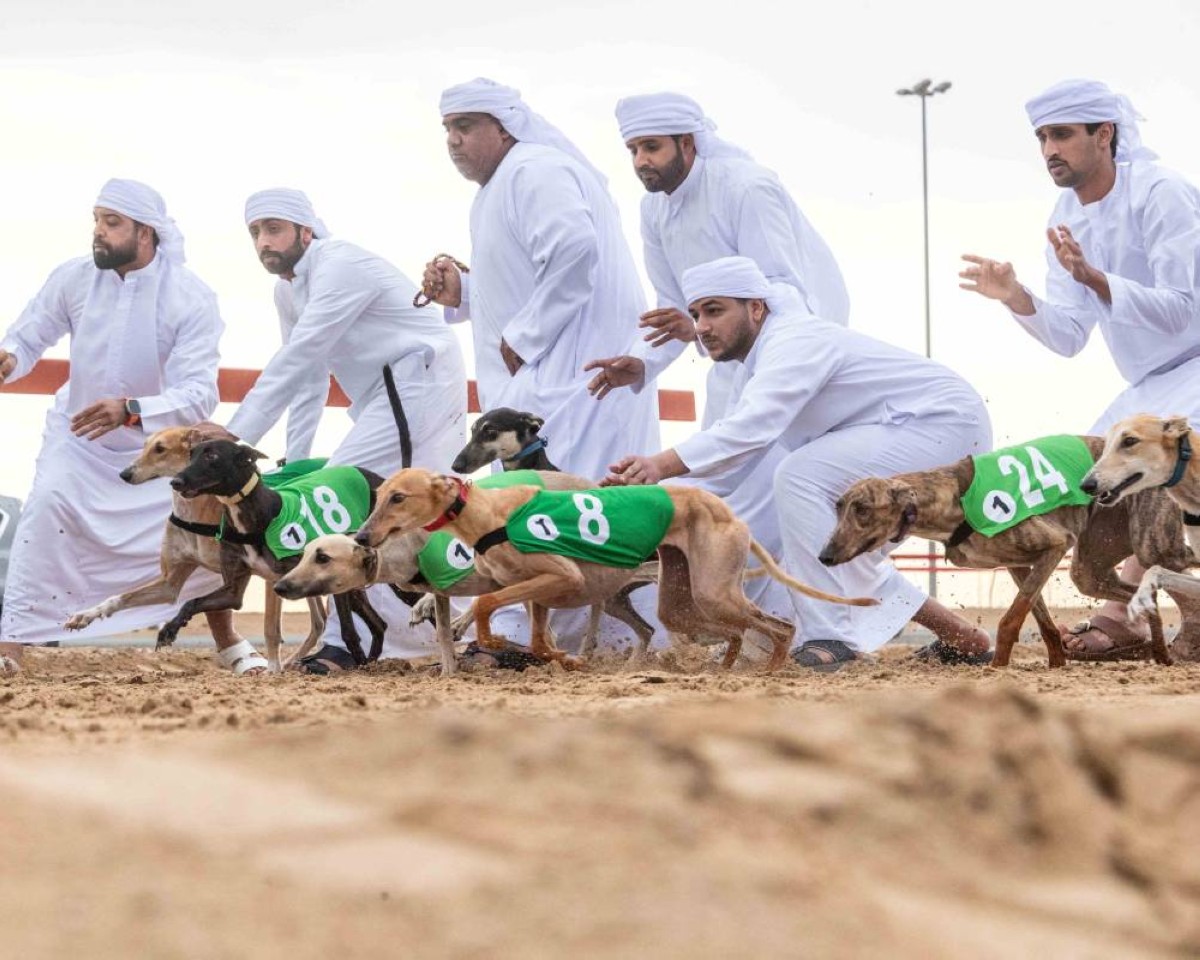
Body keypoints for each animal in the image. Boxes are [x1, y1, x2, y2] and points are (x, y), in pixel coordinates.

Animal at [63, 425, 325, 674]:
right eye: (145, 445)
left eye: (160, 449)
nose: (125, 474)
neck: (198, 512)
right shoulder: (171, 583)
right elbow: (122, 597)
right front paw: (84, 615)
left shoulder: (270, 578)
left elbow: (270, 627)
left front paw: (272, 668)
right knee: (320, 621)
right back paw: (296, 660)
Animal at [158, 439, 389, 666]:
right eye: (191, 455)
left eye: (211, 455)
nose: (175, 482)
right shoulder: (235, 590)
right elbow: (193, 602)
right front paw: (169, 630)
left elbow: (347, 629)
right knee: (379, 623)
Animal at [354, 469, 875, 672]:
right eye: (378, 496)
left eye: (398, 497)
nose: (360, 538)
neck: (488, 512)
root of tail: (729, 514)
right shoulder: (538, 591)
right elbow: (537, 638)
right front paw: (563, 659)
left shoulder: (561, 577)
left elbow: (485, 604)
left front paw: (492, 640)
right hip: (681, 601)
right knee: (733, 632)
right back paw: (726, 668)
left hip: (712, 591)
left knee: (778, 626)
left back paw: (768, 671)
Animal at [819, 434, 1192, 667]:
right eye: (838, 507)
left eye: (863, 509)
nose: (824, 556)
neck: (953, 496)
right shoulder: (1020, 564)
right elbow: (1044, 621)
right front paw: (1057, 664)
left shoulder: (1053, 545)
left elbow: (1012, 618)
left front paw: (997, 668)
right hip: (1089, 570)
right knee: (1147, 596)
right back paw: (1162, 654)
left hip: (1156, 547)